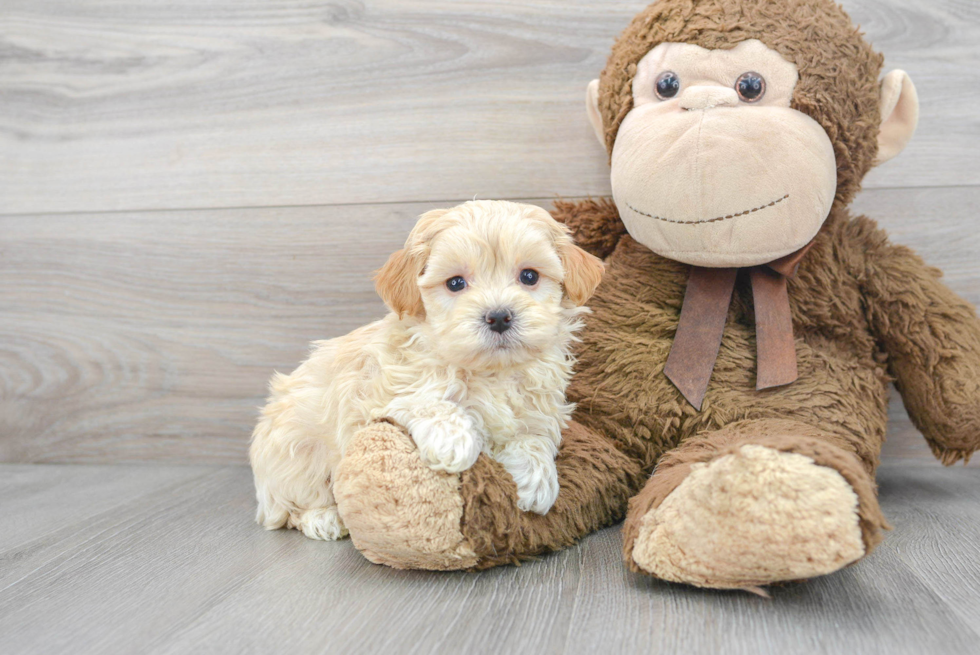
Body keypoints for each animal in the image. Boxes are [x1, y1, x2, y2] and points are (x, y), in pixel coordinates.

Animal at [251, 202, 604, 540]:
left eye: (529, 276)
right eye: (456, 283)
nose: (499, 316)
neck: (490, 372)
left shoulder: (539, 411)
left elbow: (534, 438)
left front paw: (537, 479)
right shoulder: (379, 397)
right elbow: (428, 402)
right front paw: (454, 442)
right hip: (296, 457)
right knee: (290, 508)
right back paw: (323, 518)